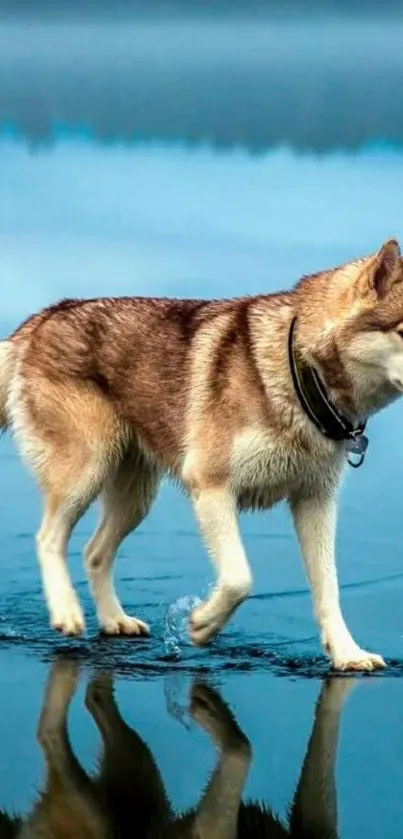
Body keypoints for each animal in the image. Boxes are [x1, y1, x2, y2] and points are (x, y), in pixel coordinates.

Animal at [0, 238, 403, 668]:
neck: (299, 370)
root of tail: (43, 317)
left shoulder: (315, 501)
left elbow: (328, 588)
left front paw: (347, 654)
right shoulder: (212, 488)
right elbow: (240, 578)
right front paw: (202, 624)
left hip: (135, 498)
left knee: (94, 553)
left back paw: (114, 620)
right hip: (85, 471)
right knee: (48, 538)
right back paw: (66, 612)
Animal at [0, 664, 356, 839]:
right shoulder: (211, 832)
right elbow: (242, 752)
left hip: (138, 793)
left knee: (95, 707)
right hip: (94, 816)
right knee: (50, 736)